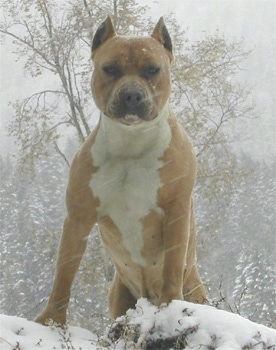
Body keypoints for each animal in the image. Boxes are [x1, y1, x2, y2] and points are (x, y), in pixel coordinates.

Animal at [34, 15, 206, 324]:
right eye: (110, 69)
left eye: (153, 69)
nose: (131, 95)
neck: (131, 142)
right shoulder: (78, 218)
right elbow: (64, 272)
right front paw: (51, 319)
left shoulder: (176, 210)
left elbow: (173, 264)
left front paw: (171, 305)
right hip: (119, 294)